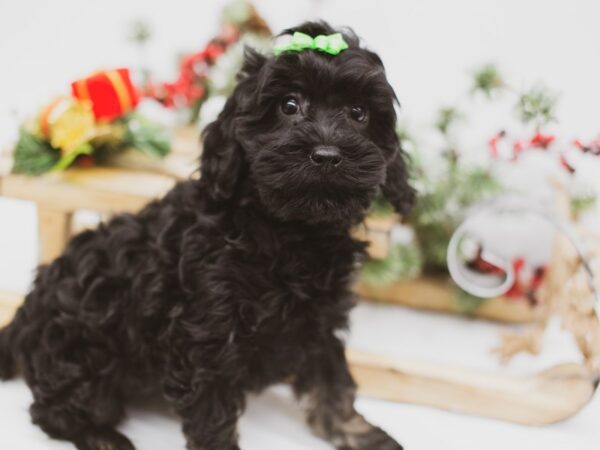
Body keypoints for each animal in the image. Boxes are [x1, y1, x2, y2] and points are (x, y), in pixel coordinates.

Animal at [0, 22, 412, 450]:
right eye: (289, 105)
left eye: (359, 113)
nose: (327, 155)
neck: (292, 232)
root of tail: (22, 318)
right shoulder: (207, 330)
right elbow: (212, 410)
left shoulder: (318, 319)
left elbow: (332, 379)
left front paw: (358, 432)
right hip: (81, 353)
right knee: (51, 408)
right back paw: (103, 437)